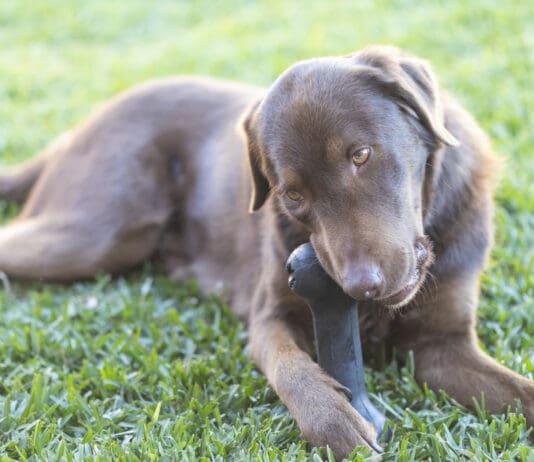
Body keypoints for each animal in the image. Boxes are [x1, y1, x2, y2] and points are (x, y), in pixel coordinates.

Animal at [1, 47, 534, 458]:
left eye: (361, 155)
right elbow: (290, 366)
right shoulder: (271, 315)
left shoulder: (441, 347)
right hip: (93, 233)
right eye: (292, 195)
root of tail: (77, 131)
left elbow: (520, 393)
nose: (361, 287)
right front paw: (335, 421)